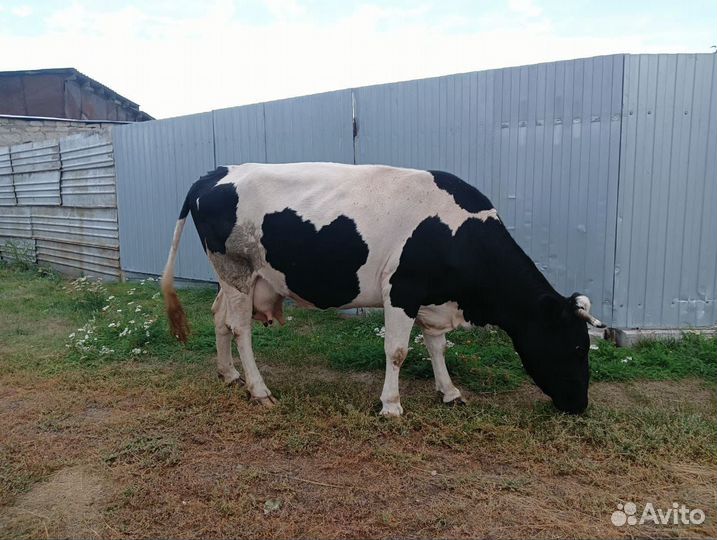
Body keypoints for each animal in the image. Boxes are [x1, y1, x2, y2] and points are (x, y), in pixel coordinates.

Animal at [161, 163, 605, 416]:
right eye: (576, 347)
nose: (580, 406)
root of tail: (215, 173)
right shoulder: (402, 291)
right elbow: (398, 351)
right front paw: (391, 405)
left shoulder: (433, 299)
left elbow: (437, 347)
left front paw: (449, 392)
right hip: (236, 270)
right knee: (240, 329)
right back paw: (259, 390)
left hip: (236, 278)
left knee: (219, 318)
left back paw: (229, 375)